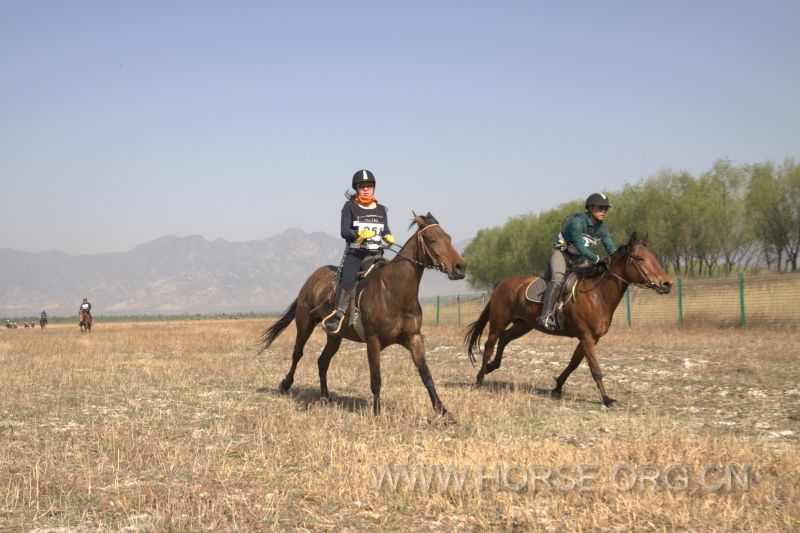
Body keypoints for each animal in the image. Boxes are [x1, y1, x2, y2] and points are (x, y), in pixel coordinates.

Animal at [256, 212, 468, 416]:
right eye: (432, 239)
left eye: (448, 237)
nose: (460, 267)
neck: (393, 293)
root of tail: (311, 279)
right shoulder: (373, 341)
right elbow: (376, 379)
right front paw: (377, 412)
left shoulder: (414, 338)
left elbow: (426, 375)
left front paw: (443, 411)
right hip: (305, 324)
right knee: (297, 353)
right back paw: (285, 384)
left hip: (335, 336)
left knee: (322, 361)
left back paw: (326, 397)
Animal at [466, 231, 672, 406]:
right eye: (639, 258)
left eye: (654, 258)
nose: (667, 284)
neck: (598, 294)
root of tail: (501, 283)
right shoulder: (586, 336)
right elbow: (595, 369)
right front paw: (606, 399)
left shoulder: (591, 338)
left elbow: (574, 363)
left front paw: (557, 387)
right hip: (498, 322)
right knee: (489, 346)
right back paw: (480, 378)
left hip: (523, 325)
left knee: (504, 339)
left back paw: (492, 367)